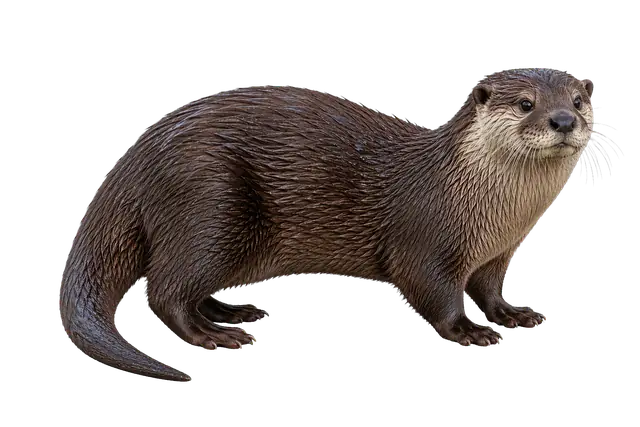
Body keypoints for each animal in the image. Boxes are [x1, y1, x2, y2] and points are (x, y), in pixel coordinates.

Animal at [59, 67, 595, 382]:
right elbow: (434, 292)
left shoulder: (498, 252)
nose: (564, 120)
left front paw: (511, 314)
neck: (489, 210)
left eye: (578, 99)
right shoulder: (426, 240)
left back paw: (235, 314)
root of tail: (138, 157)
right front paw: (468, 330)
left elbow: (486, 288)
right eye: (526, 103)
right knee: (165, 289)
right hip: (210, 206)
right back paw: (215, 336)